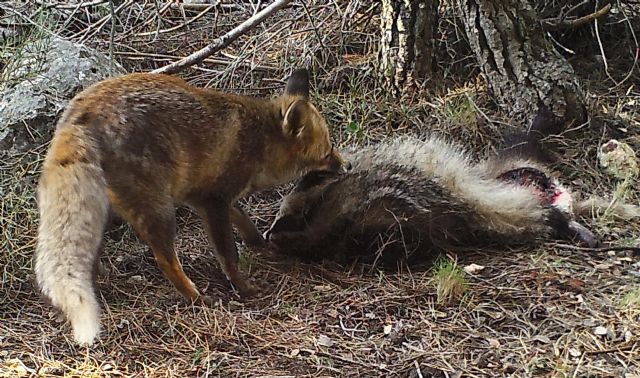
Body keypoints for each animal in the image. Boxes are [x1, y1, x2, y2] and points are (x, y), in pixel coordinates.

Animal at [33, 68, 344, 346]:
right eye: (328, 151)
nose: (345, 166)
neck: (259, 142)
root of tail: (80, 113)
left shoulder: (204, 196)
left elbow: (243, 220)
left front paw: (259, 243)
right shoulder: (214, 200)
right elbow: (228, 255)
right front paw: (244, 288)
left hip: (107, 206)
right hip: (160, 210)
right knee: (165, 261)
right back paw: (196, 297)